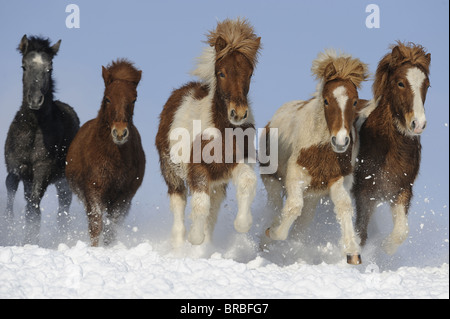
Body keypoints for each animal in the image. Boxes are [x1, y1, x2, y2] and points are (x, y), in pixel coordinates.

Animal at [3, 35, 80, 245]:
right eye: (24, 66)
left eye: (49, 68)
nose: (36, 100)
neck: (33, 131)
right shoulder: (15, 168)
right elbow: (10, 197)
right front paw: (9, 231)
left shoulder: (42, 171)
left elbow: (33, 210)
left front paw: (29, 241)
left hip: (63, 183)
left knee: (62, 212)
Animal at [65, 58, 145, 248]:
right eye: (107, 98)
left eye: (134, 99)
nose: (120, 133)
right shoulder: (94, 190)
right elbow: (96, 224)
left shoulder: (123, 197)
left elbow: (111, 228)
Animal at [156, 16, 262, 248]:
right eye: (221, 72)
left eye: (250, 74)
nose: (238, 113)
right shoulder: (197, 168)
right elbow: (199, 204)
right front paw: (194, 238)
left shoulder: (235, 163)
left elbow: (247, 181)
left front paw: (243, 224)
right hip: (172, 172)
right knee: (179, 203)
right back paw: (180, 243)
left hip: (218, 184)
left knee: (213, 209)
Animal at [260, 50, 370, 264]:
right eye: (326, 100)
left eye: (354, 101)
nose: (341, 141)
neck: (320, 147)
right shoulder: (295, 175)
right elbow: (293, 208)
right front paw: (272, 232)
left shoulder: (337, 178)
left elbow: (344, 206)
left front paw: (352, 252)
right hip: (272, 181)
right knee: (276, 207)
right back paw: (265, 241)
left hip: (312, 196)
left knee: (302, 224)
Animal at [354, 42, 430, 255]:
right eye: (400, 83)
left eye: (426, 85)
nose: (418, 124)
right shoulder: (364, 192)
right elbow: (360, 234)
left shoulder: (402, 191)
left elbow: (401, 232)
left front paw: (383, 249)